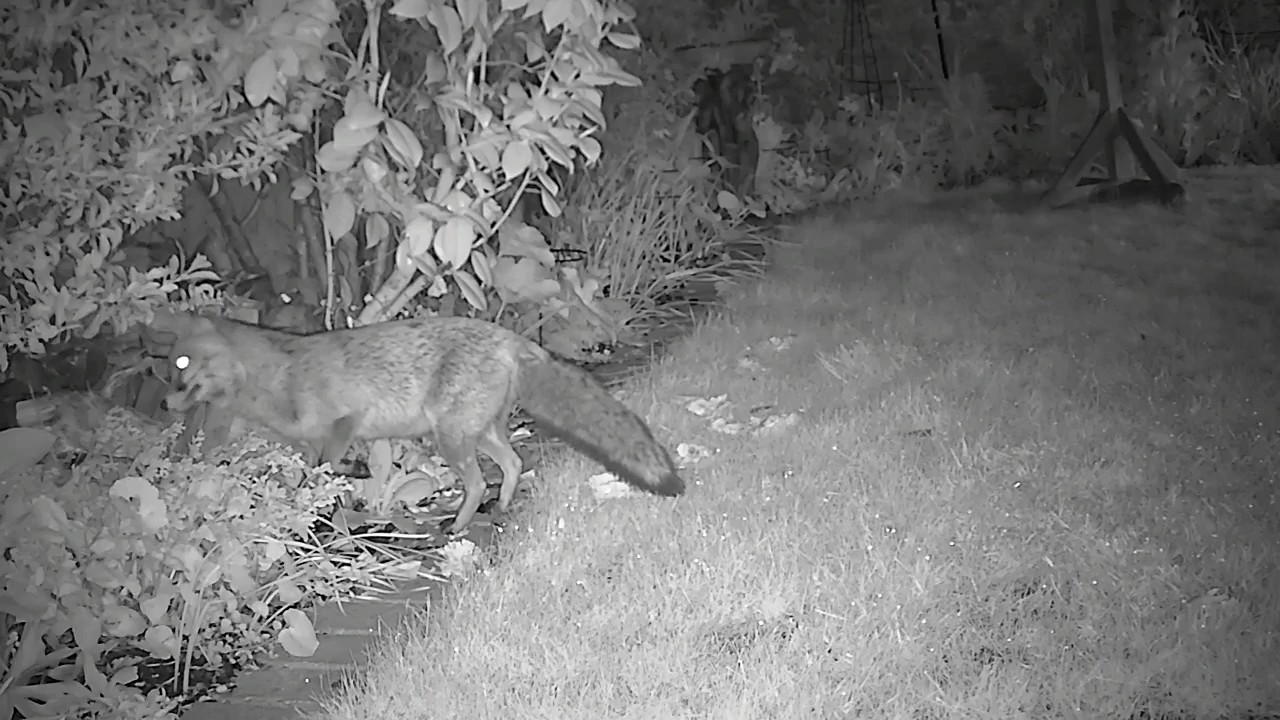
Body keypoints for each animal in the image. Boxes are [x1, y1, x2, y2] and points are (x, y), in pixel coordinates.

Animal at [161, 314, 684, 532]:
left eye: (183, 363)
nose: (165, 401)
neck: (281, 379)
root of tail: (511, 338)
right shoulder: (326, 441)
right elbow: (332, 475)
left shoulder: (345, 422)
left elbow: (328, 470)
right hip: (480, 433)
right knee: (513, 465)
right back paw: (499, 508)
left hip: (451, 437)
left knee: (477, 482)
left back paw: (457, 525)